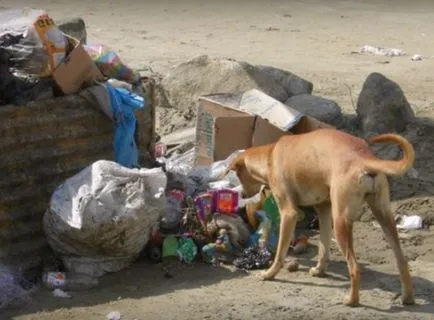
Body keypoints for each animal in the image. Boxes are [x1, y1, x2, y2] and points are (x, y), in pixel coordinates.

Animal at [225, 127, 416, 308]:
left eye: (238, 174)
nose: (242, 194)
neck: (270, 154)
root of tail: (363, 158)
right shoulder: (324, 210)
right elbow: (323, 247)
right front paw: (319, 270)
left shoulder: (289, 213)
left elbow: (280, 252)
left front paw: (269, 273)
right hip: (383, 217)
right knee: (402, 261)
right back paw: (407, 297)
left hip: (341, 223)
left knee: (354, 268)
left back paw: (352, 300)